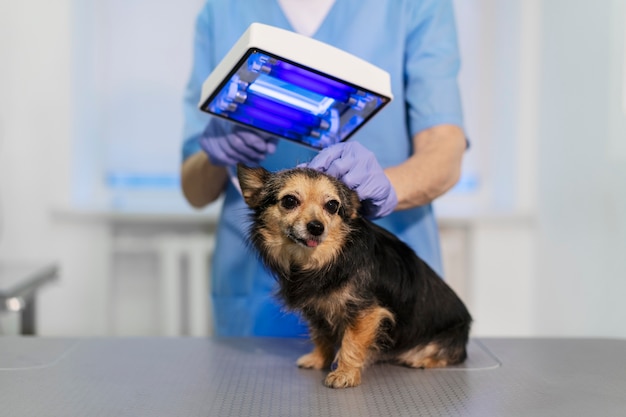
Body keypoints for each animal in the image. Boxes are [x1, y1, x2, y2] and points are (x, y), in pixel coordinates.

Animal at [236, 163, 470, 386]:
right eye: (289, 201)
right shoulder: (317, 310)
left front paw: (344, 374)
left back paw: (422, 359)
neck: (323, 261)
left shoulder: (365, 312)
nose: (316, 227)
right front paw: (318, 359)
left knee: (451, 356)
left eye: (332, 205)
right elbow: (321, 336)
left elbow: (351, 343)